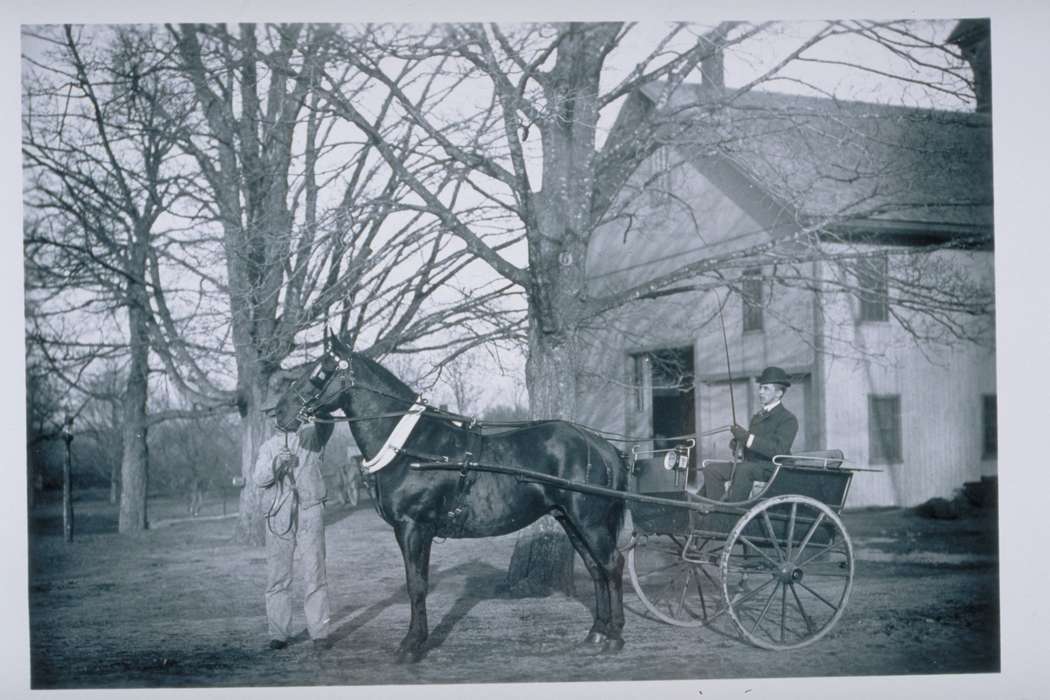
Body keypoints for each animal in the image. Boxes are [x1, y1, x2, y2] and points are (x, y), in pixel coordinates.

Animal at [275, 333, 625, 663]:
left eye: (321, 370)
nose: (280, 412)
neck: (412, 448)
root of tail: (600, 444)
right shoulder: (413, 530)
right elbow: (416, 580)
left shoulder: (413, 527)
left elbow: (416, 584)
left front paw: (412, 645)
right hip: (569, 519)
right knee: (595, 568)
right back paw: (596, 633)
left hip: (589, 521)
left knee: (612, 563)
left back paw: (614, 637)